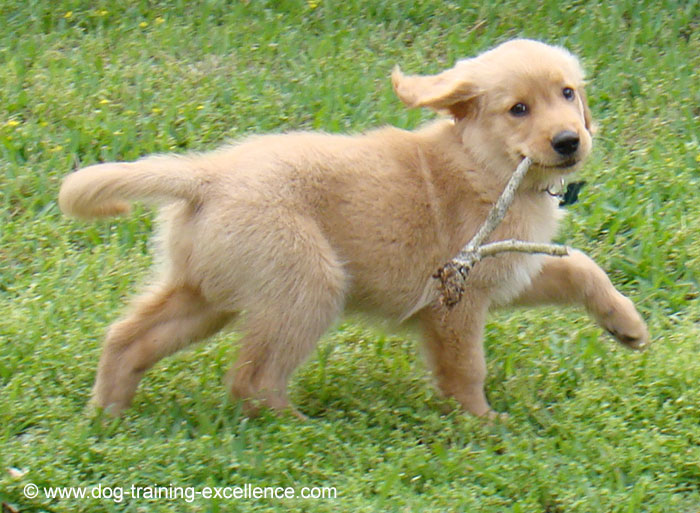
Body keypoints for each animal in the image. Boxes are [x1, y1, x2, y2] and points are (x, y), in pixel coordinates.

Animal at [58, 39, 652, 416]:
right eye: (519, 109)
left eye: (568, 93)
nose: (569, 141)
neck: (482, 162)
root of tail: (206, 175)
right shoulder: (456, 296)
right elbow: (465, 370)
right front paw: (484, 426)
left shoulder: (508, 268)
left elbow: (580, 266)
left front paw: (627, 325)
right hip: (309, 282)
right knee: (251, 380)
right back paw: (302, 431)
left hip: (208, 291)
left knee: (129, 338)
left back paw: (108, 414)